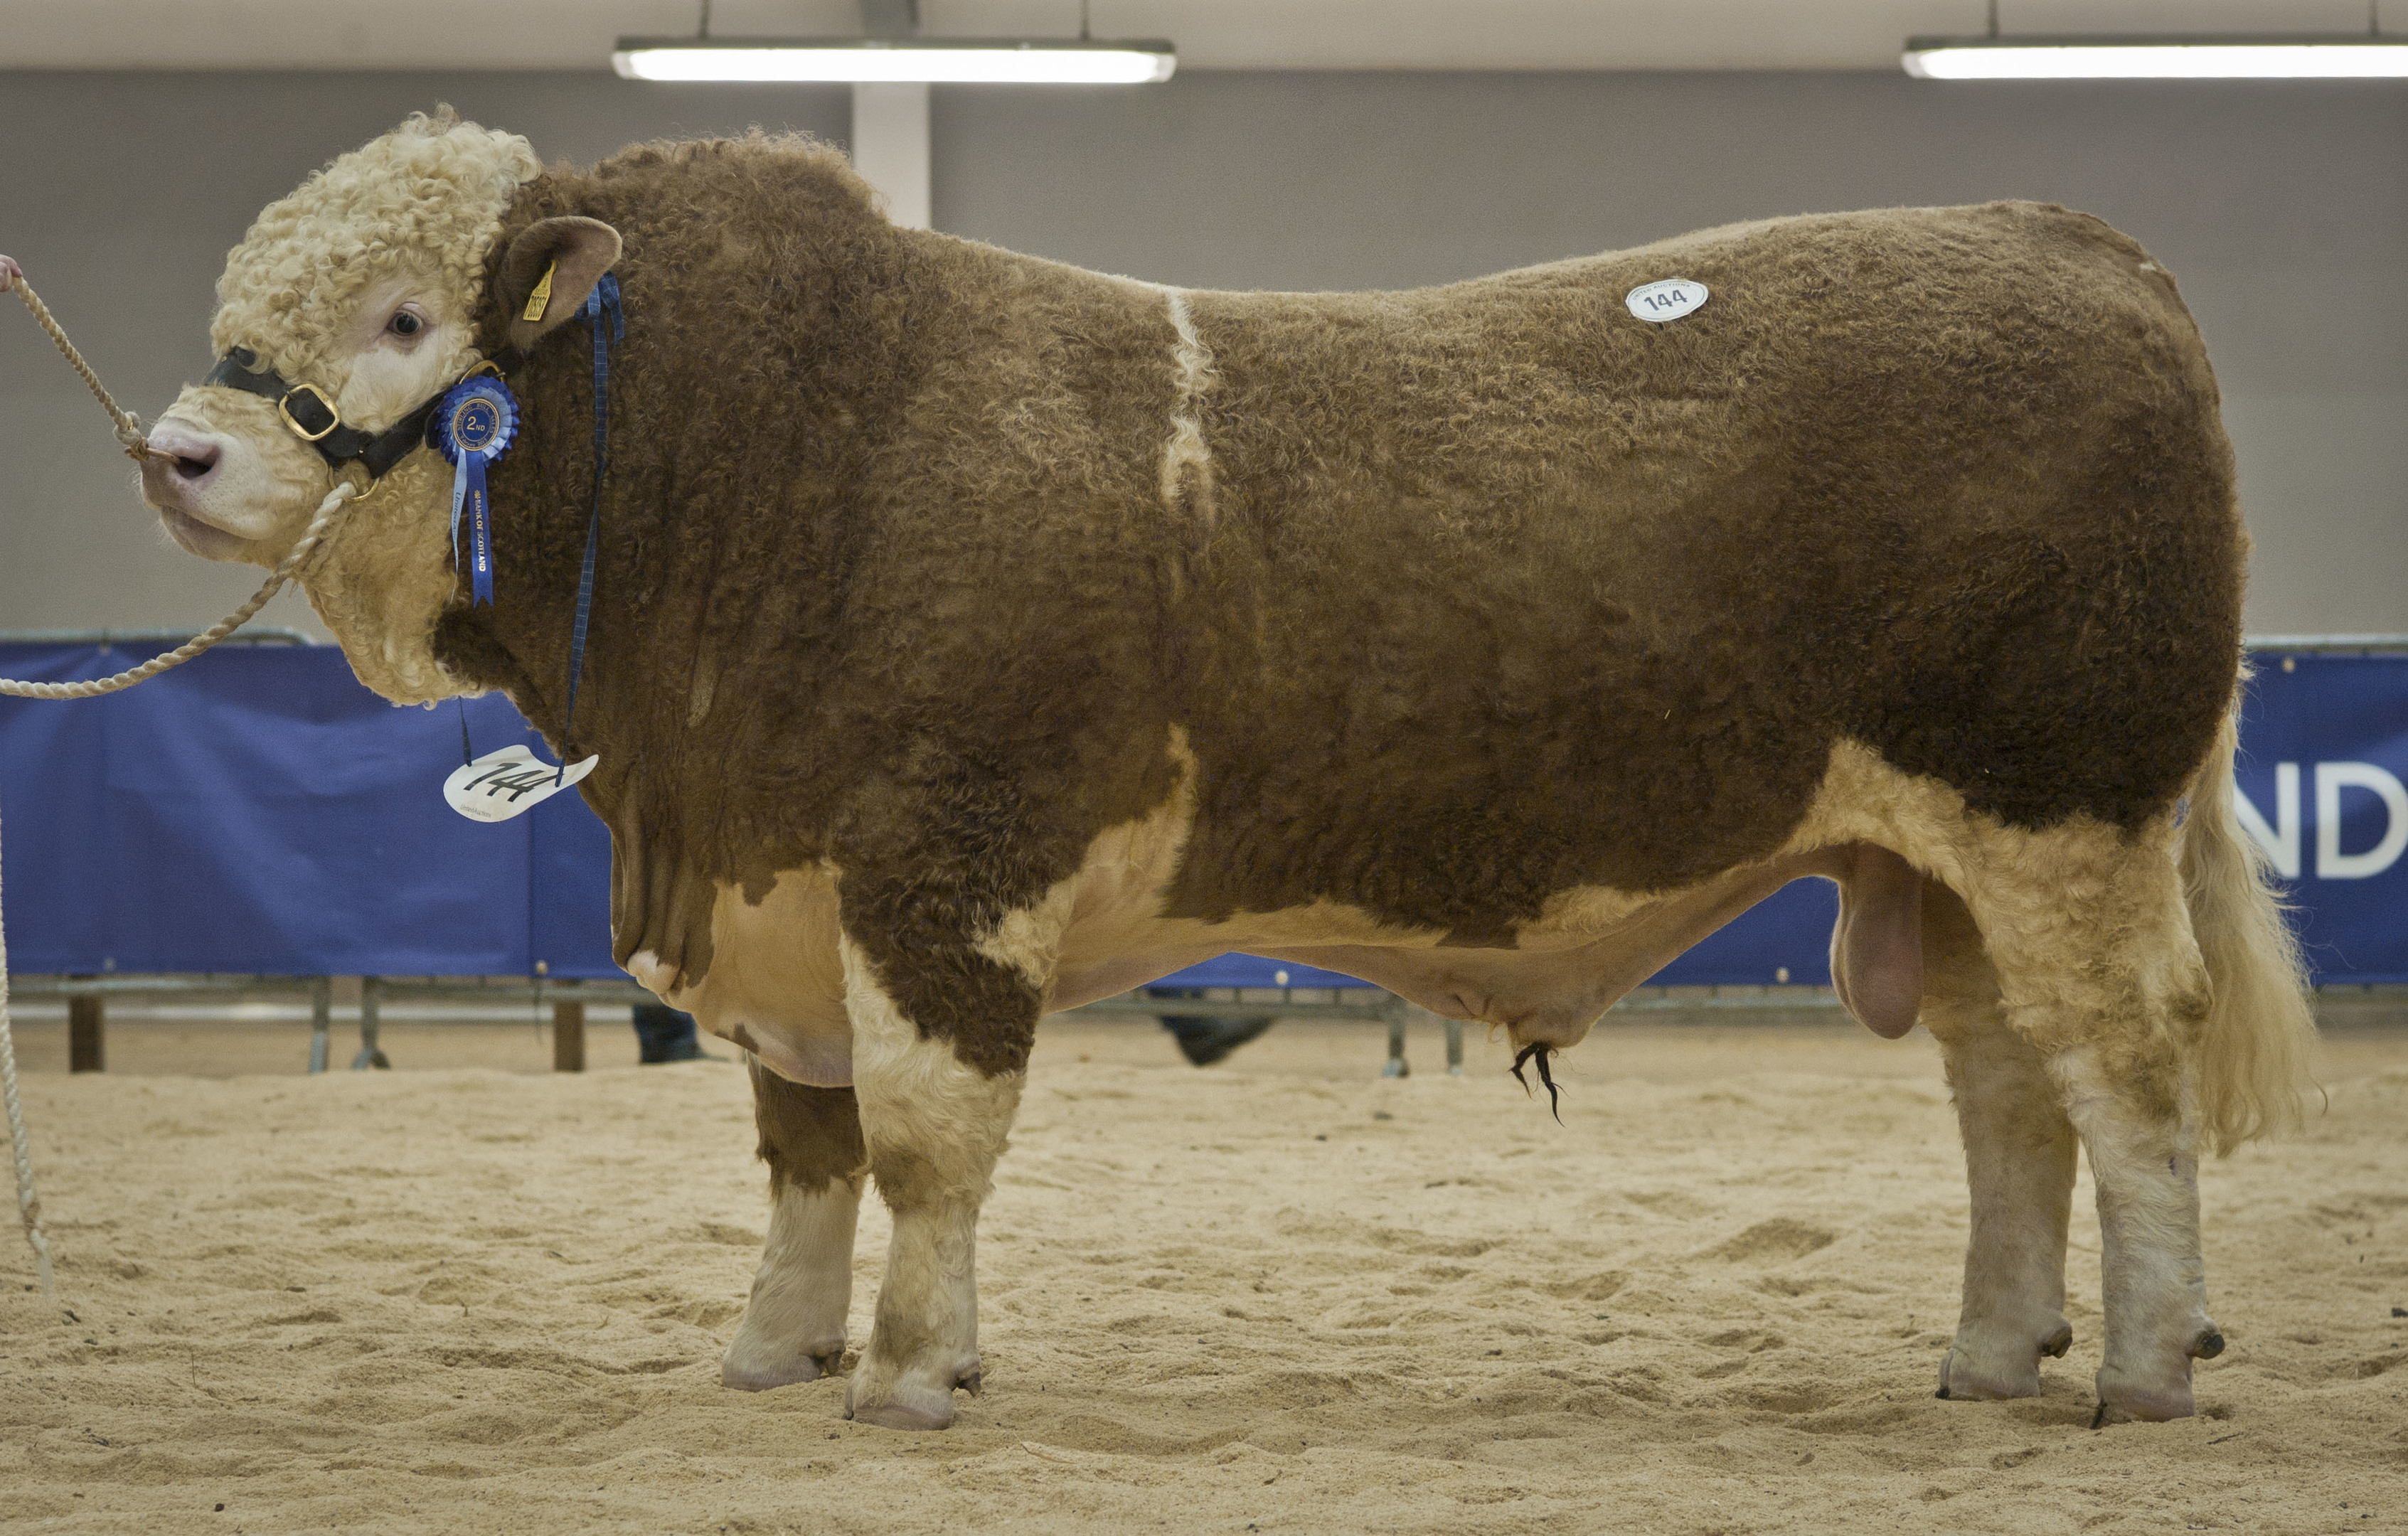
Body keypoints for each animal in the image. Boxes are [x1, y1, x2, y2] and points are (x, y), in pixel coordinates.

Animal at [113, 108, 2311, 1434]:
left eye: (406, 313)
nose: (177, 450)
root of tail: (2063, 238)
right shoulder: (784, 888)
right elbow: (805, 1148)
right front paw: (772, 1352)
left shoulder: (940, 869)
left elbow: (922, 1140)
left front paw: (909, 1376)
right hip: (1940, 855)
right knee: (2007, 1094)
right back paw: (1991, 1350)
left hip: (2059, 812)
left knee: (2122, 1076)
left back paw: (2135, 1368)